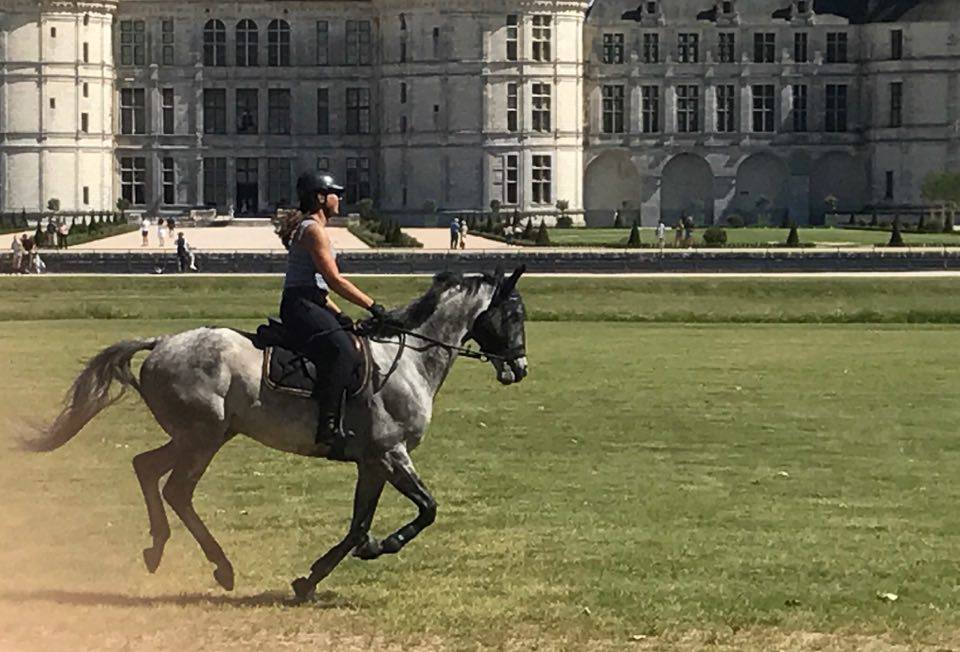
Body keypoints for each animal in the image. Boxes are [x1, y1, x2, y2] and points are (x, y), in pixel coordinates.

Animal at [22, 268, 528, 600]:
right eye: (514, 314)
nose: (520, 369)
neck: (407, 361)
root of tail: (163, 341)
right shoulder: (391, 454)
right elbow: (426, 510)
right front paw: (385, 545)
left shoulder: (372, 462)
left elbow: (358, 525)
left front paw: (312, 578)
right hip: (203, 438)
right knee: (177, 490)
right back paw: (220, 565)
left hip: (202, 436)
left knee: (146, 468)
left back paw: (158, 547)